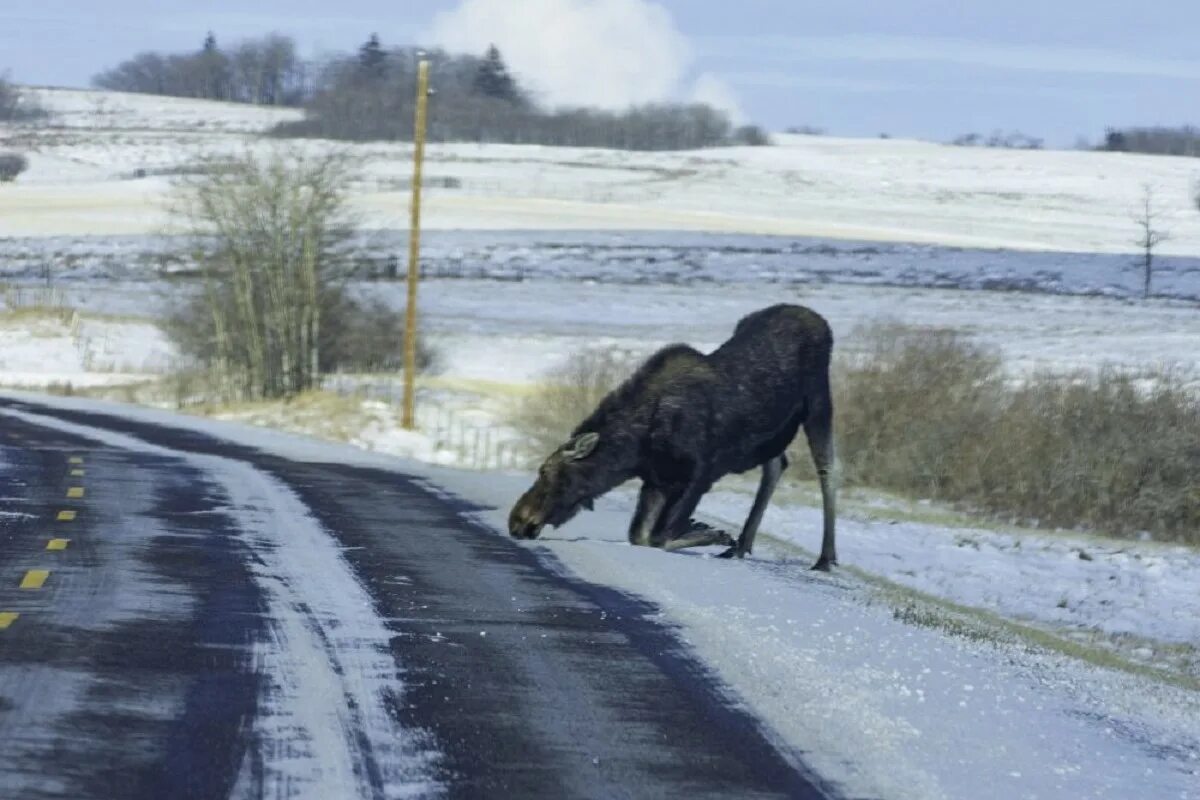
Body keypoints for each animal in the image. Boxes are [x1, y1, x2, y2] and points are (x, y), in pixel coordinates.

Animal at [504, 302, 835, 568]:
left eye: (545, 471)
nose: (516, 520)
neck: (636, 448)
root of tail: (821, 321)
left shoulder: (700, 473)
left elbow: (660, 534)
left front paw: (711, 532)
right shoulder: (657, 479)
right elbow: (641, 534)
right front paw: (710, 533)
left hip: (817, 400)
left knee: (827, 468)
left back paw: (824, 559)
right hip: (774, 436)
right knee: (777, 464)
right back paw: (743, 546)